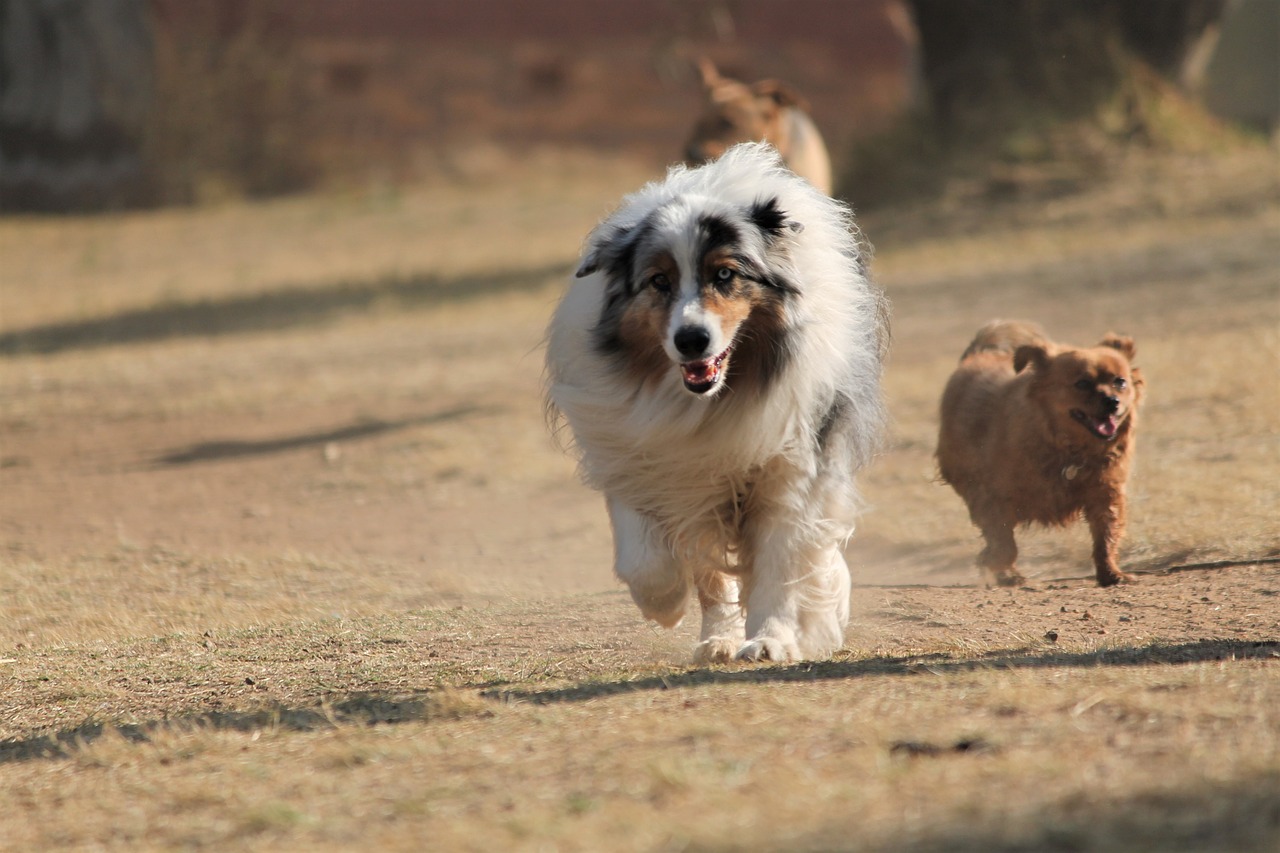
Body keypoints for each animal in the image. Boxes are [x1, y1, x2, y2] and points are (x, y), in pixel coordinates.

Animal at [545, 142, 885, 660]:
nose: (691, 340)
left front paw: (773, 638)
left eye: (725, 274)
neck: (711, 400)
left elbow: (783, 562)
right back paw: (718, 639)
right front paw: (664, 602)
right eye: (658, 282)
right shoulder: (638, 451)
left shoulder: (792, 463)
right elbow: (647, 553)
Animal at [936, 318, 1146, 584]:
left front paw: (1110, 573)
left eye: (1119, 382)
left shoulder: (1106, 495)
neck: (1069, 449)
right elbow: (1003, 543)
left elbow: (1106, 537)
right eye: (1082, 383)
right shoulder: (992, 498)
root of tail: (978, 354)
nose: (1112, 401)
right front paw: (992, 562)